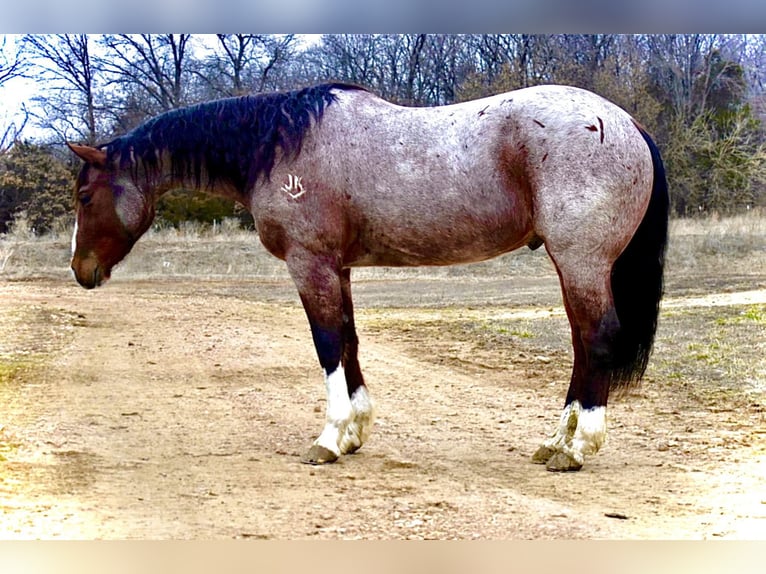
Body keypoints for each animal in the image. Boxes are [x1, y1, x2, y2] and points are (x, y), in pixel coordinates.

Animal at [72, 83, 672, 474]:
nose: (81, 272)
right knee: (581, 343)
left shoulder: (309, 263)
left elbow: (327, 343)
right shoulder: (338, 267)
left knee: (596, 339)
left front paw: (329, 438)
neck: (283, 145)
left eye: (83, 196)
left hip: (580, 261)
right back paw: (555, 441)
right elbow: (349, 339)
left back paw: (576, 448)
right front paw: (355, 432)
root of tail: (628, 124)